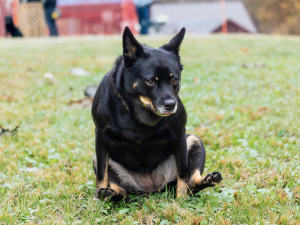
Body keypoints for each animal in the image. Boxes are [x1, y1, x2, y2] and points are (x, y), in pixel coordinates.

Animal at [92, 26, 221, 200]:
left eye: (174, 80)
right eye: (150, 81)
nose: (171, 105)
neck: (139, 111)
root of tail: (150, 189)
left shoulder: (179, 136)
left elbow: (183, 174)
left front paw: (181, 200)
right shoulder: (101, 138)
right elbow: (102, 174)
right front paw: (98, 196)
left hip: (194, 141)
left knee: (191, 182)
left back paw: (207, 180)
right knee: (121, 190)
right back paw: (109, 194)